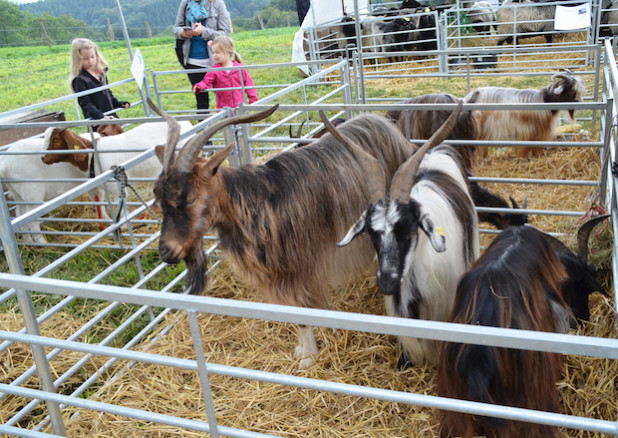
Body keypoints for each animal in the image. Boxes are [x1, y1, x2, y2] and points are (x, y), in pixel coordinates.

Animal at [146, 100, 414, 370]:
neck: (256, 204)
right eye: (158, 195)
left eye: (190, 198)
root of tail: (383, 123)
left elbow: (302, 315)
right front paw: (301, 350)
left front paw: (307, 358)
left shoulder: (298, 270)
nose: (166, 252)